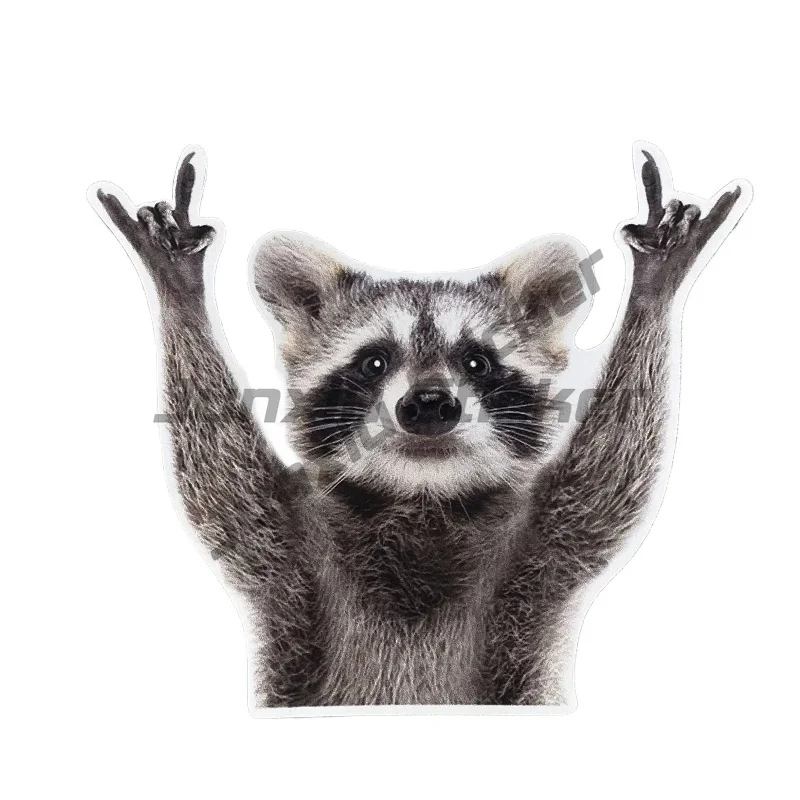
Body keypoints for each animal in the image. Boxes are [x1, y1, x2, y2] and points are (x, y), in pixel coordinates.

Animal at [91, 146, 748, 708]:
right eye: (374, 362)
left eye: (477, 362)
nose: (430, 404)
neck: (420, 496)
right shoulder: (287, 549)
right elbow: (220, 476)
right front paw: (180, 292)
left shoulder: (541, 547)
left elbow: (611, 472)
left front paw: (653, 290)